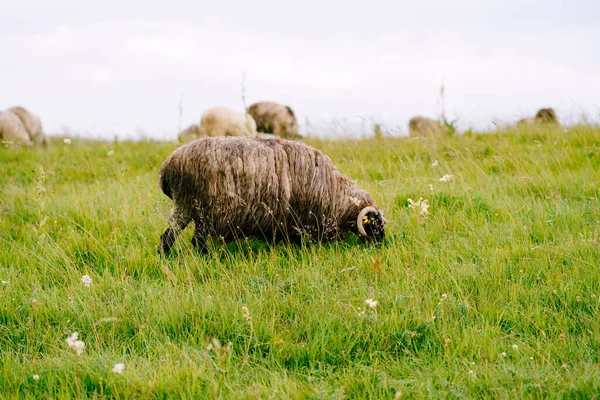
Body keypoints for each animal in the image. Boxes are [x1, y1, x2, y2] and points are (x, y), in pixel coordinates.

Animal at [157, 136, 386, 255]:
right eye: (373, 225)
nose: (382, 244)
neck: (336, 196)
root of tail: (168, 166)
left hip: (189, 207)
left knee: (172, 235)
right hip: (200, 207)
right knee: (192, 239)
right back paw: (203, 257)